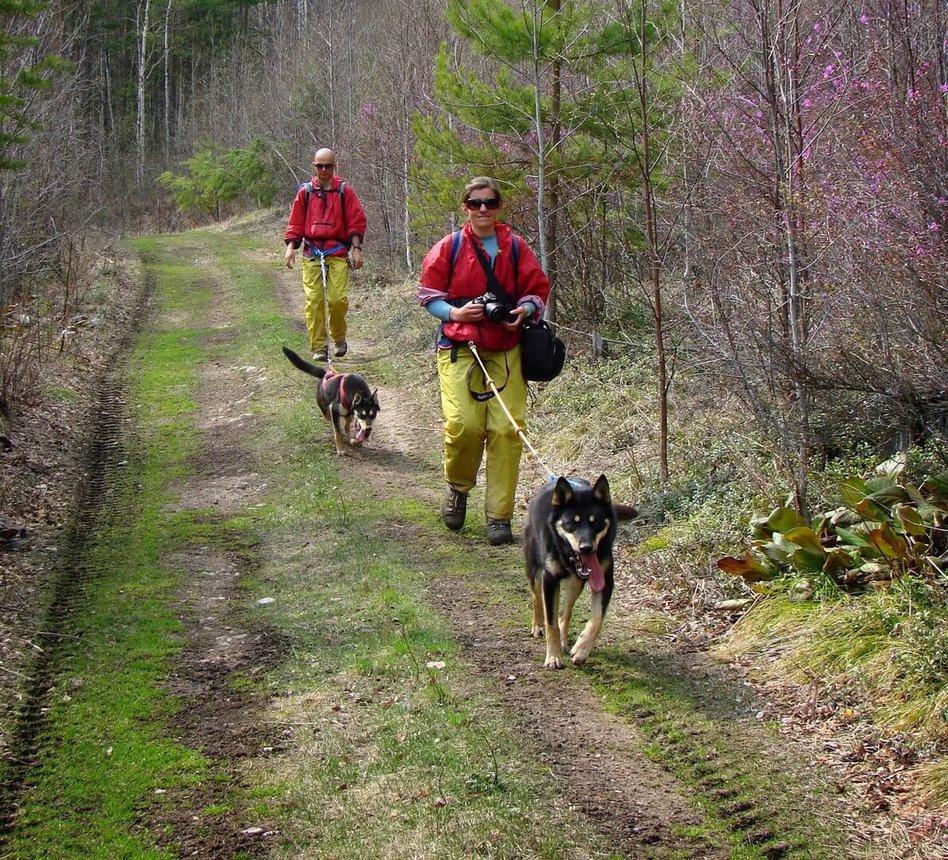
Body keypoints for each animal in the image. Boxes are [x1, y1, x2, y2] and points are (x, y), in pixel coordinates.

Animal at [524, 474, 636, 668]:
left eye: (596, 522)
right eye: (571, 524)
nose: (586, 548)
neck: (567, 555)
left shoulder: (605, 580)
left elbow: (597, 619)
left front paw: (581, 650)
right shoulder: (550, 579)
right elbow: (550, 622)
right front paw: (553, 657)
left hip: (576, 583)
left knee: (567, 610)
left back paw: (564, 638)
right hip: (534, 567)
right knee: (536, 596)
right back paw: (537, 625)